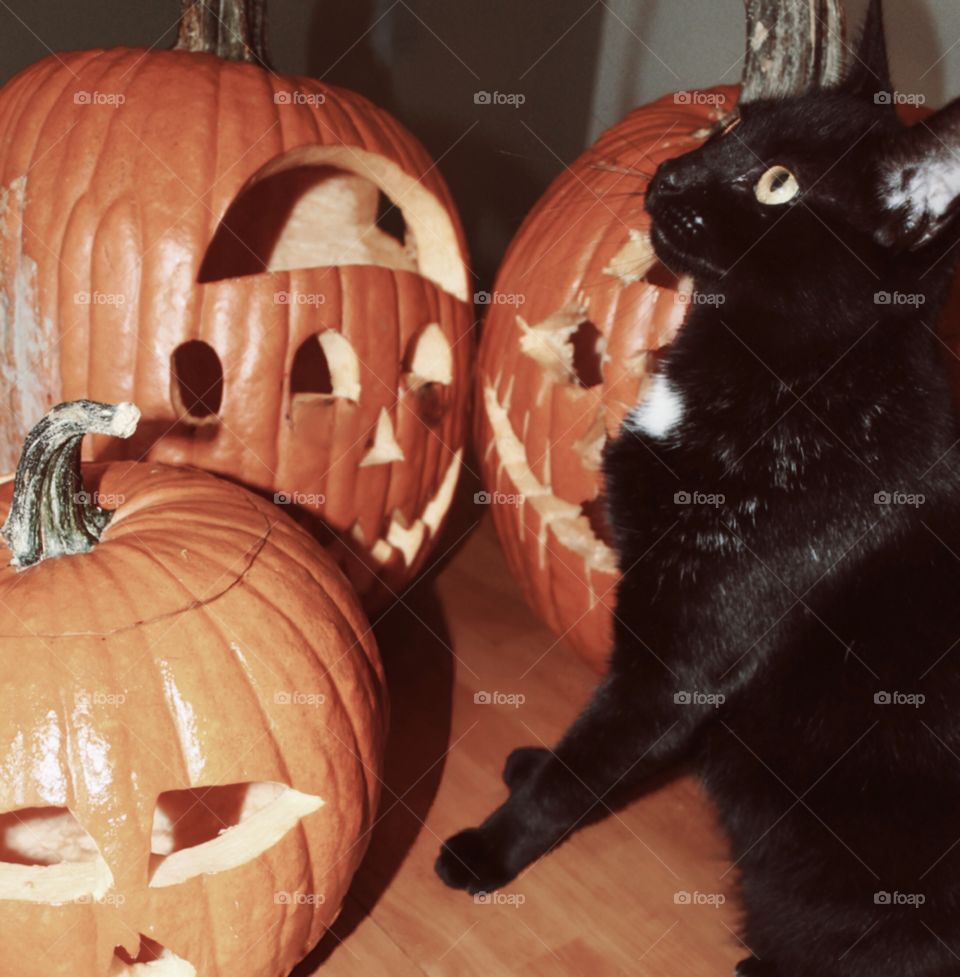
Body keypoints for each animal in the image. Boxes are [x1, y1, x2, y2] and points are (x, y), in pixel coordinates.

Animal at [436, 3, 960, 972]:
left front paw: (493, 844)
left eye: (779, 184)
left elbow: (587, 764)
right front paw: (534, 767)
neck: (778, 374)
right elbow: (605, 748)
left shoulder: (681, 655)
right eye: (728, 129)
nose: (671, 172)